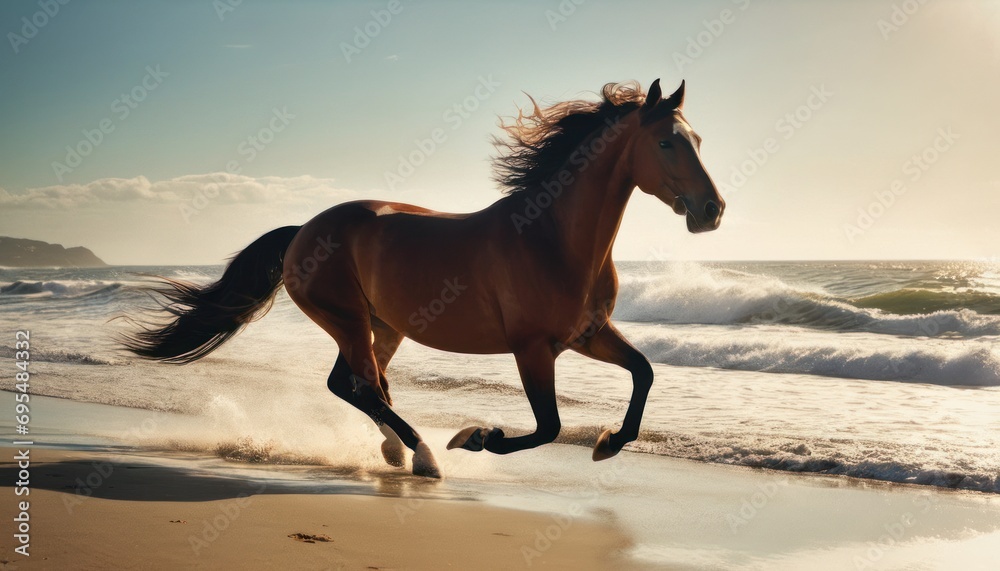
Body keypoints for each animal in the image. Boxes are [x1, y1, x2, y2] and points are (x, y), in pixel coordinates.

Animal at [121, 79, 724, 478]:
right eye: (666, 142)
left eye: (698, 140)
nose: (712, 211)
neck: (552, 238)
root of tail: (302, 231)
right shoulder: (533, 348)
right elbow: (547, 427)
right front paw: (475, 437)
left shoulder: (587, 335)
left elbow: (644, 372)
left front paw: (608, 443)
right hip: (347, 320)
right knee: (362, 385)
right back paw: (426, 456)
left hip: (381, 325)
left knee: (356, 384)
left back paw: (398, 451)